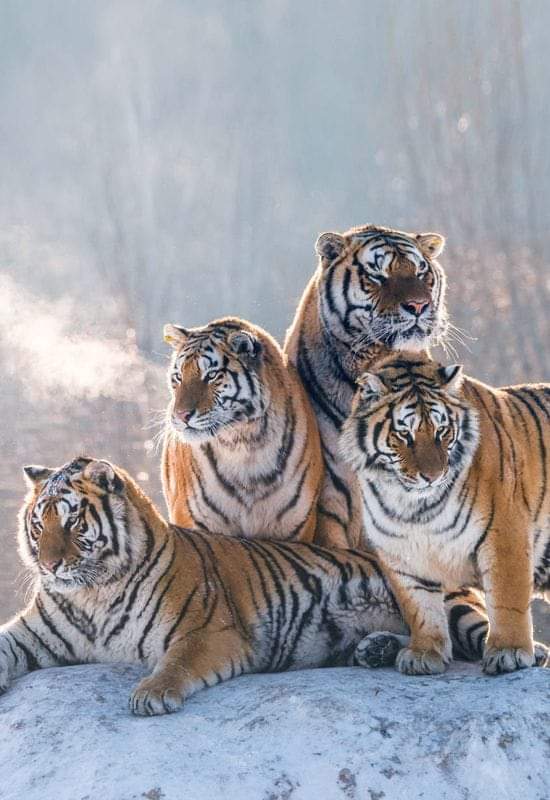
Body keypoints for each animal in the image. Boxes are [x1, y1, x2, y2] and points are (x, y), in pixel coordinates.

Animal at [0, 455, 418, 715]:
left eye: (71, 522)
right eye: (38, 525)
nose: (49, 565)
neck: (92, 595)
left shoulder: (208, 631)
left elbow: (178, 662)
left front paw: (152, 694)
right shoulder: (33, 632)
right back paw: (376, 649)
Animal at [341, 351, 550, 675]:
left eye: (441, 431)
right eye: (405, 434)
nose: (433, 476)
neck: (411, 505)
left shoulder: (504, 533)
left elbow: (507, 599)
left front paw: (510, 652)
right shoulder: (400, 551)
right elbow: (420, 608)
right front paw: (424, 654)